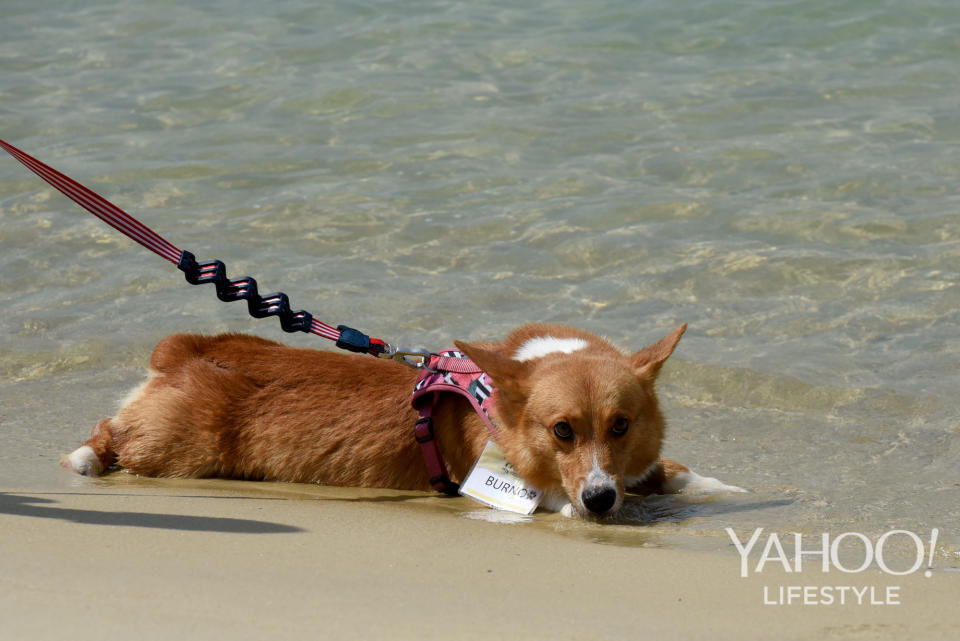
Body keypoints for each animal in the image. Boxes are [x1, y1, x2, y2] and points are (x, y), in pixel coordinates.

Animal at [63, 322, 744, 516]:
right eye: (562, 431)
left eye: (621, 426)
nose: (602, 502)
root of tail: (182, 350)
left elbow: (669, 471)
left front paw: (721, 488)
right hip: (179, 449)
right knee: (113, 437)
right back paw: (87, 460)